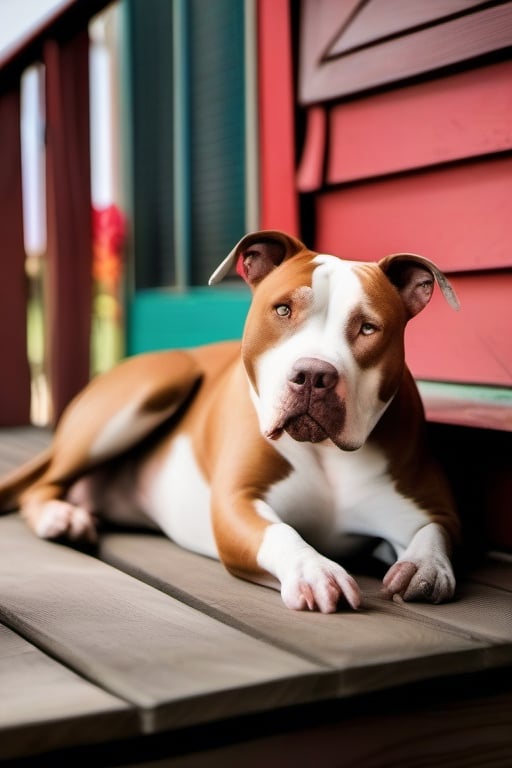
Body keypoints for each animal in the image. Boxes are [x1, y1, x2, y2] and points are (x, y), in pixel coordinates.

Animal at [0, 230, 460, 612]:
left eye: (367, 328)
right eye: (283, 309)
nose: (313, 375)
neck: (326, 452)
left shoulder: (427, 508)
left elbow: (435, 532)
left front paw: (426, 567)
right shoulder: (237, 503)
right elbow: (282, 533)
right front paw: (315, 570)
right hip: (155, 385)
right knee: (42, 484)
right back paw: (59, 517)